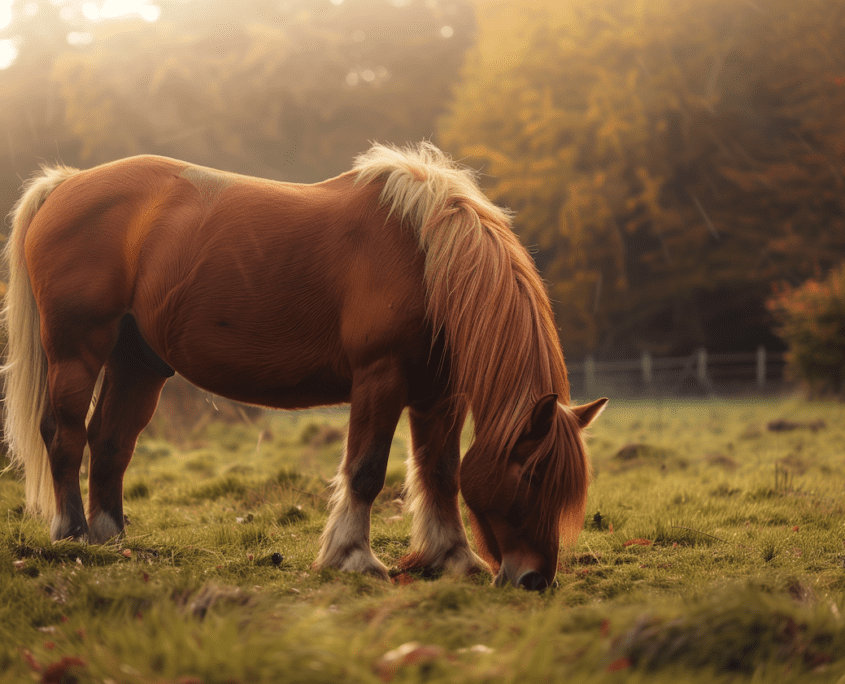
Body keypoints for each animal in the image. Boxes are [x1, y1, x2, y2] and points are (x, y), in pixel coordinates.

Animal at [1, 142, 608, 592]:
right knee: (65, 435)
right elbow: (365, 470)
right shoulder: (380, 378)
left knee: (110, 441)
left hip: (138, 362)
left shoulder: (440, 395)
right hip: (77, 351)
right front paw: (353, 557)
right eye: (532, 477)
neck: (427, 259)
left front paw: (452, 558)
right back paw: (72, 534)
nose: (534, 580)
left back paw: (112, 540)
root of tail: (68, 183)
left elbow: (441, 473)